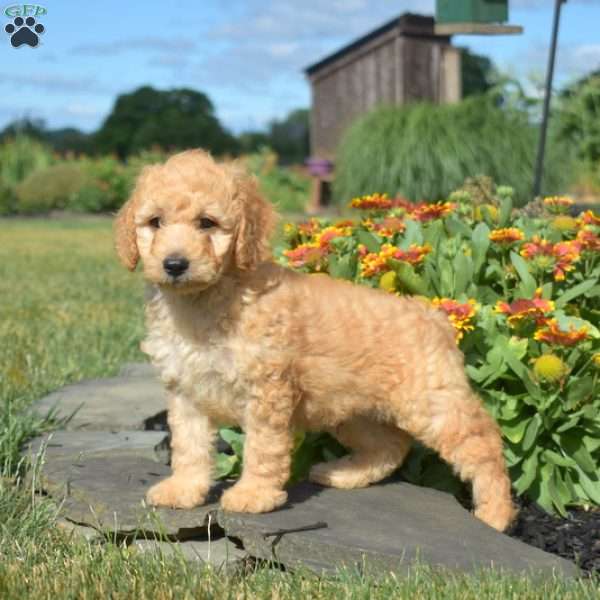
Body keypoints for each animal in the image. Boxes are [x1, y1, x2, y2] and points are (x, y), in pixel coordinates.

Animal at [116, 149, 516, 528]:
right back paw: (344, 474)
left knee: (484, 445)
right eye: (155, 223)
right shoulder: (186, 391)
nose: (174, 264)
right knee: (390, 445)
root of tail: (435, 317)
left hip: (432, 404)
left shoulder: (267, 391)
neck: (203, 302)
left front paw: (253, 495)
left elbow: (263, 448)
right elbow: (189, 446)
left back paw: (495, 515)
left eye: (207, 223)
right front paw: (183, 490)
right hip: (353, 409)